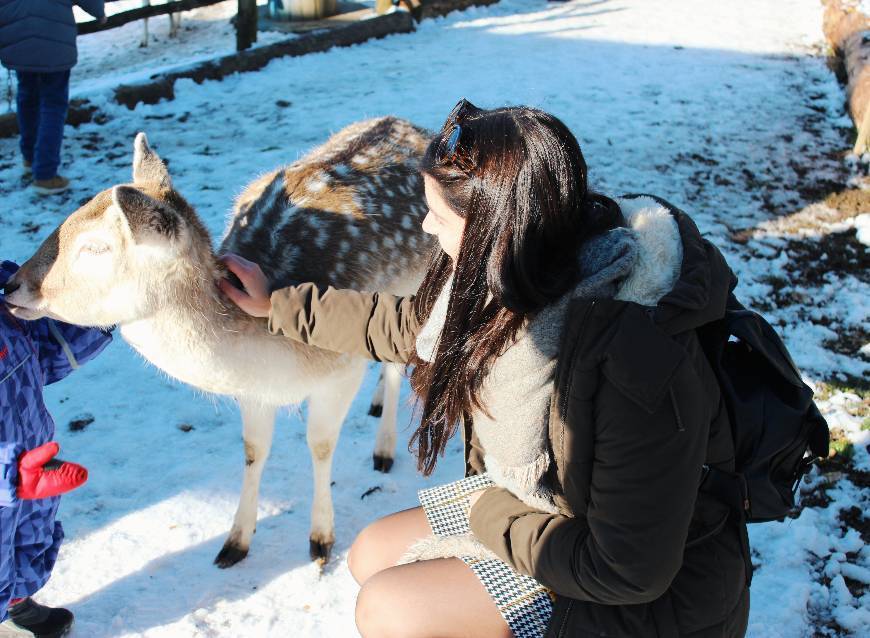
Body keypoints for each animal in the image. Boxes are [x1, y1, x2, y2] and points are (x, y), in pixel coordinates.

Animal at [2, 117, 432, 568]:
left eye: (95, 248)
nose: (12, 285)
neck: (276, 359)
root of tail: (409, 125)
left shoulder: (341, 370)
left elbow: (320, 446)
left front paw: (321, 540)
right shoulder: (254, 392)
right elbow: (254, 450)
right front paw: (235, 543)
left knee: (396, 361)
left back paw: (384, 448)